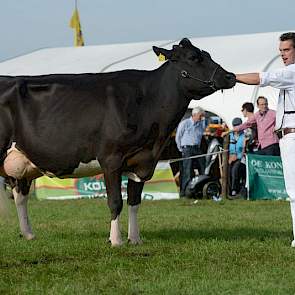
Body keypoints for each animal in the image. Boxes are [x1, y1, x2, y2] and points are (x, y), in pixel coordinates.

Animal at [0, 38, 236, 246]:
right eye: (193, 57)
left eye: (208, 54)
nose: (230, 76)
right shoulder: (111, 159)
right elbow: (115, 201)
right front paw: (116, 240)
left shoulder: (142, 161)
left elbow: (134, 201)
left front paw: (135, 239)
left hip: (21, 162)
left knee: (20, 195)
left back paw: (28, 235)